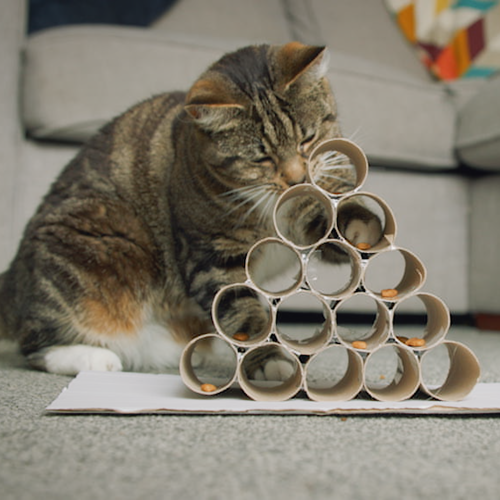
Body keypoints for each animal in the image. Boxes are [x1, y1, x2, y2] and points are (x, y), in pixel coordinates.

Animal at [0, 43, 378, 376]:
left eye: (307, 139)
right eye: (260, 158)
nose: (297, 179)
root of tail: (13, 275)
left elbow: (330, 222)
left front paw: (361, 228)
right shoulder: (210, 257)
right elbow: (242, 313)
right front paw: (270, 361)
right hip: (95, 248)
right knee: (35, 342)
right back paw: (94, 357)